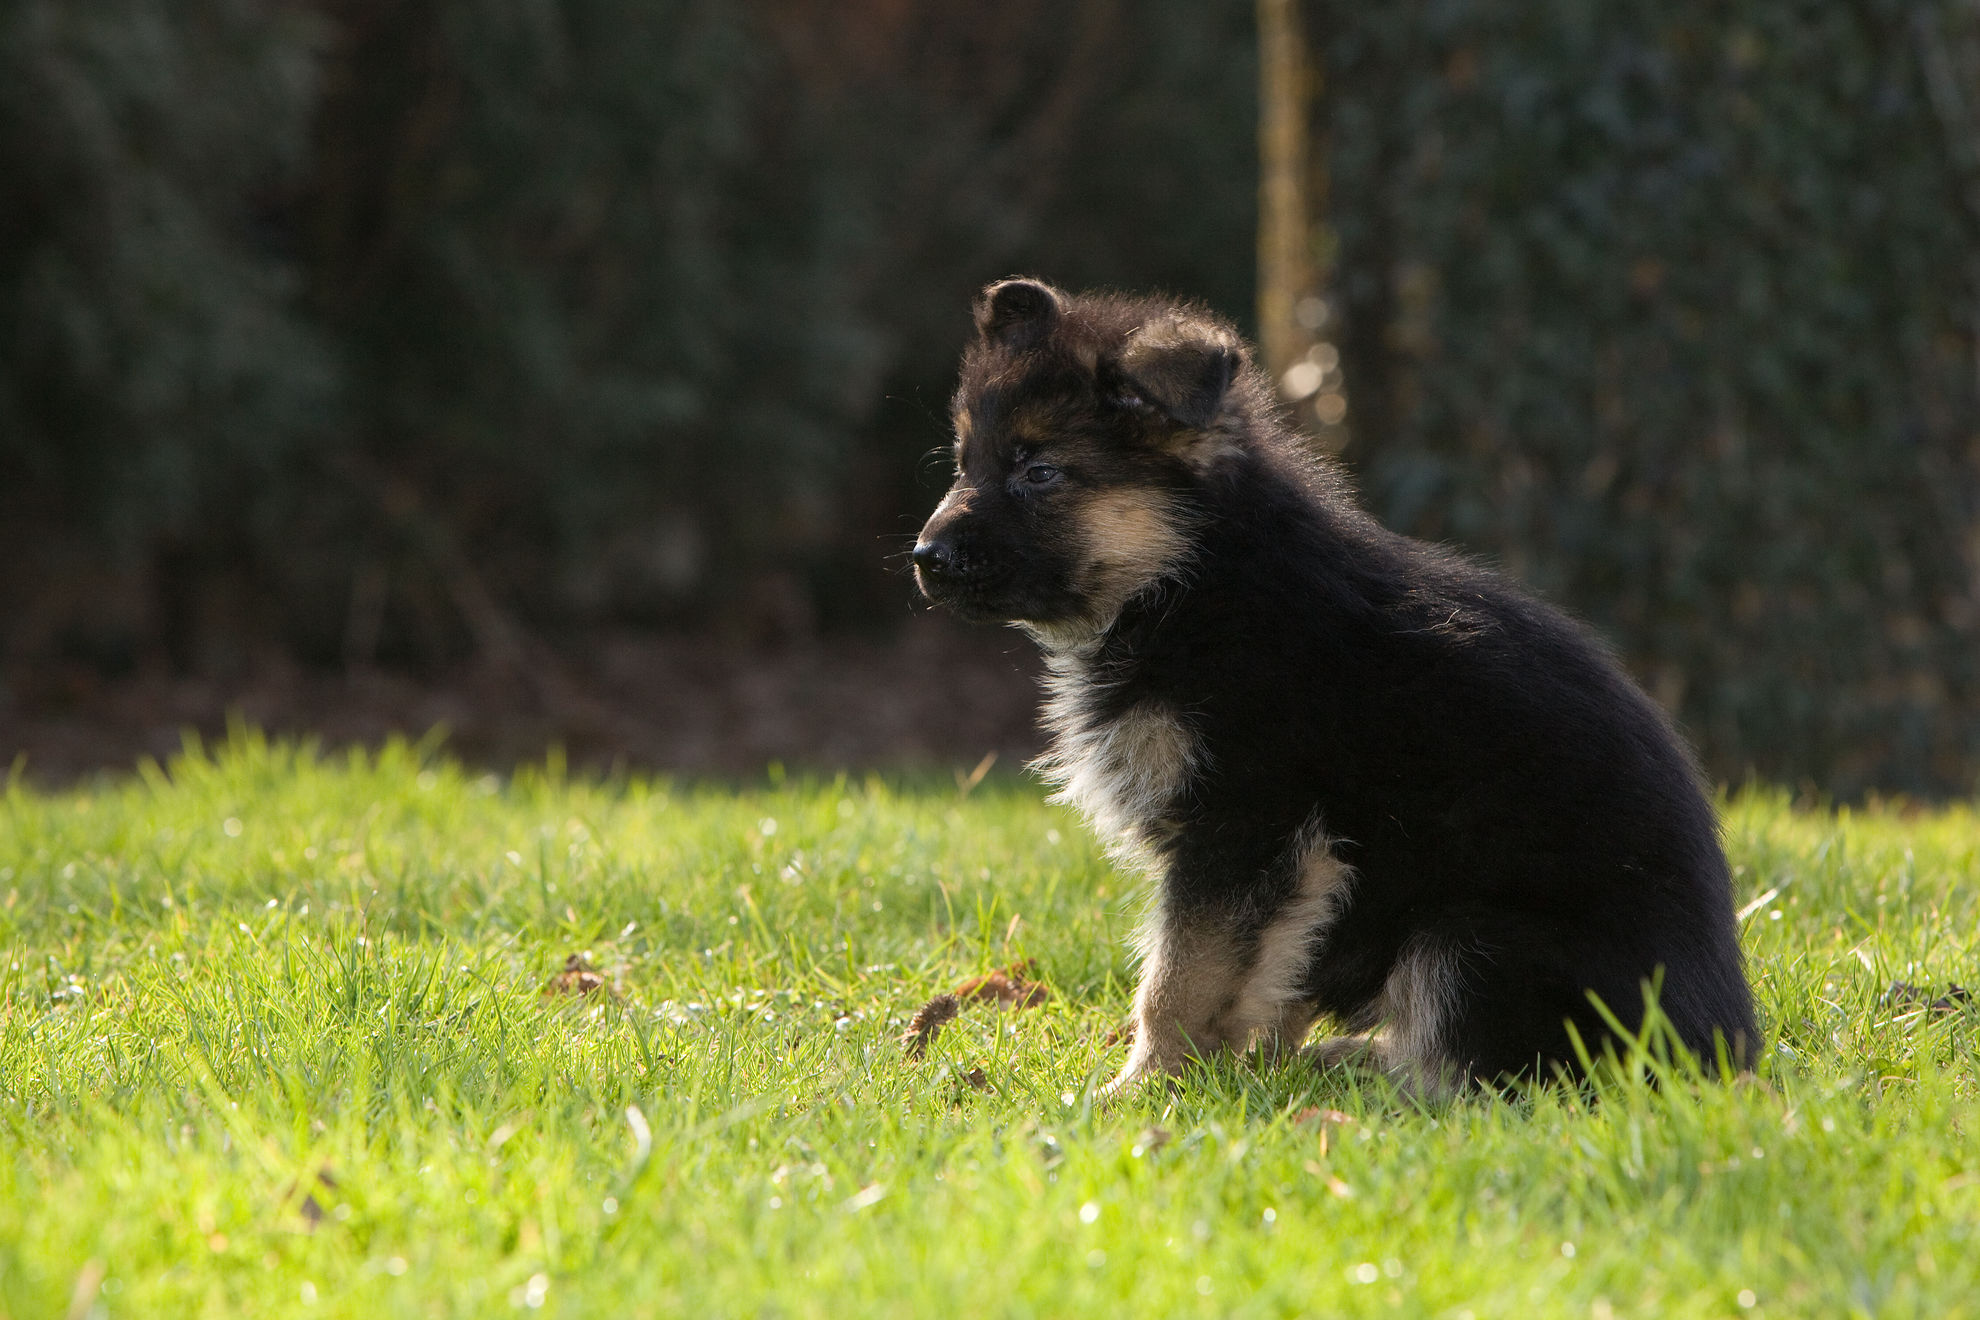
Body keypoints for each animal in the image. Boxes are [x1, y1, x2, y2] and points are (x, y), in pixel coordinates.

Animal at [910, 279, 1750, 1092]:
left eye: (1039, 472)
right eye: (964, 463)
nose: (924, 557)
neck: (1188, 580)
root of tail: (1724, 1056)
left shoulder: (1248, 827)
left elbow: (1180, 979)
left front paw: (1143, 1089)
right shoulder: (1290, 870)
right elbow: (1274, 974)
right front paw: (1242, 1072)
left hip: (1471, 941)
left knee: (1494, 1078)